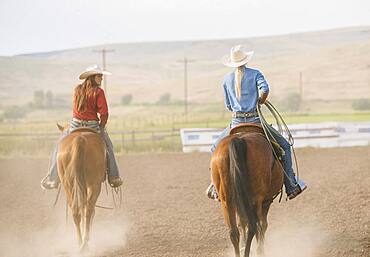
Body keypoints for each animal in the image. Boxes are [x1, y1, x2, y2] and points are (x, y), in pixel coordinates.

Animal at [211, 125, 284, 256]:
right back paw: (256, 251)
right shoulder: (266, 200)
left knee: (234, 232)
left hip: (227, 200)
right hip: (255, 200)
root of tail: (237, 140)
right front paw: (259, 249)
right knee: (254, 227)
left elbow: (242, 223)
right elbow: (263, 224)